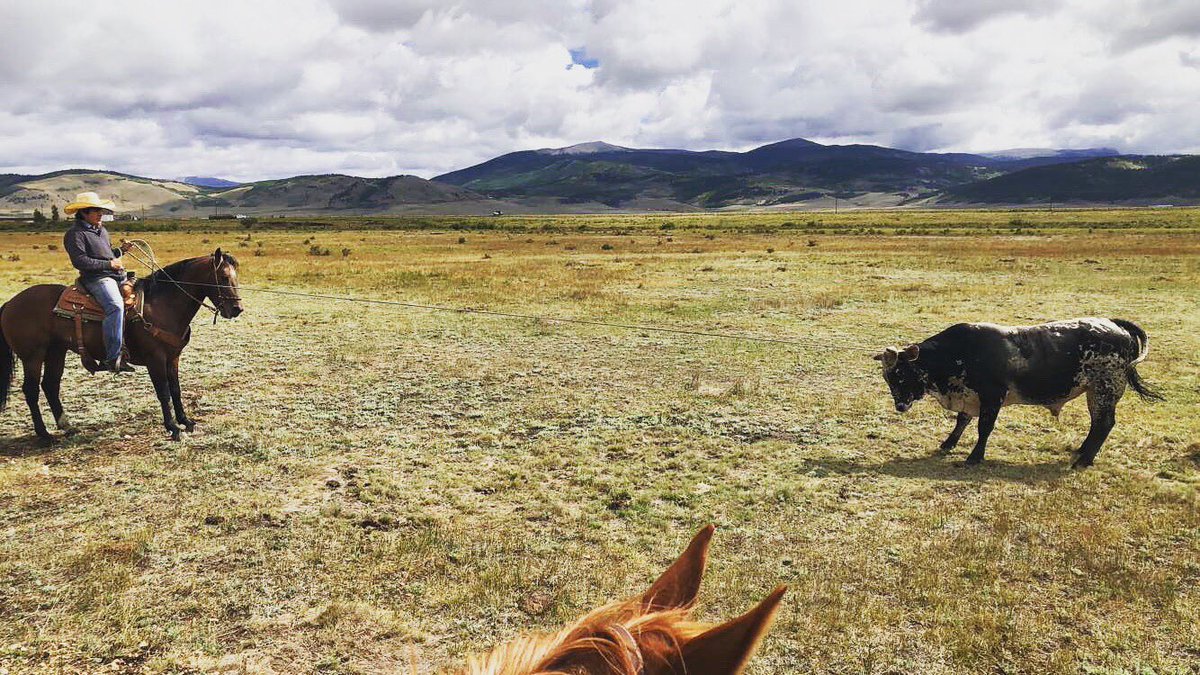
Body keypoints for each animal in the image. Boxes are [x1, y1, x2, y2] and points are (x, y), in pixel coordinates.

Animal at [874, 318, 1162, 468]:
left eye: (901, 373)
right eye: (888, 377)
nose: (899, 406)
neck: (959, 353)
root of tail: (1114, 324)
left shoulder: (992, 397)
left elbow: (983, 428)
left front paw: (975, 456)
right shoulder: (970, 397)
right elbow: (961, 422)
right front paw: (948, 443)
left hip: (1105, 389)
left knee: (1104, 423)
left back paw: (1085, 459)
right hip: (1095, 391)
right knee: (1097, 424)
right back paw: (1082, 451)